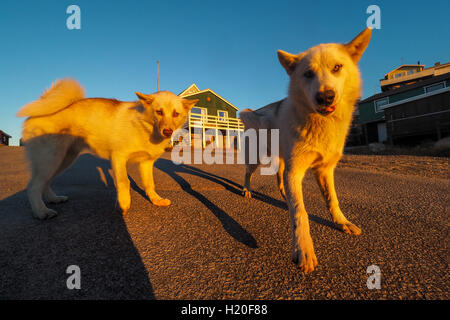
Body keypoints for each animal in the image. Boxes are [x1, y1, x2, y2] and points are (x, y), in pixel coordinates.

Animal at [17, 79, 197, 220]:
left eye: (175, 114)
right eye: (159, 112)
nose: (168, 131)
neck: (145, 128)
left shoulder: (146, 163)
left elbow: (149, 184)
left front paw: (156, 200)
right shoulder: (118, 157)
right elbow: (124, 182)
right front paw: (123, 204)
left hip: (63, 160)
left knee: (44, 183)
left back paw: (53, 199)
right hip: (51, 159)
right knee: (33, 186)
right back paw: (41, 212)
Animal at [241, 28, 370, 272]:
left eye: (337, 67)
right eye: (308, 74)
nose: (325, 96)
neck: (321, 123)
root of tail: (257, 111)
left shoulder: (324, 171)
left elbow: (332, 200)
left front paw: (342, 223)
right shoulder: (297, 171)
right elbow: (300, 212)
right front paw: (303, 248)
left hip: (283, 160)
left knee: (280, 177)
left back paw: (283, 194)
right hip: (256, 159)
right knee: (247, 174)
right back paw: (246, 191)